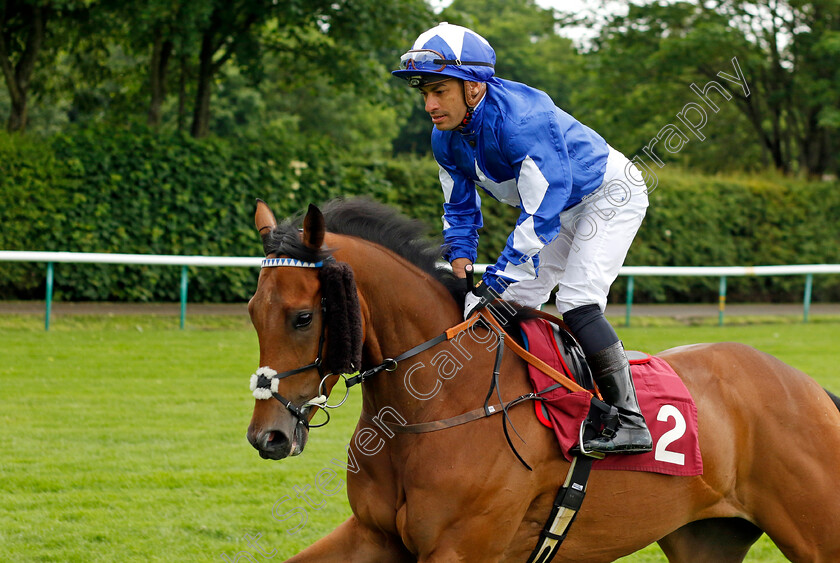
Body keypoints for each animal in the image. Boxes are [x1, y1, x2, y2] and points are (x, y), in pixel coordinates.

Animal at [246, 199, 840, 563]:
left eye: (303, 317)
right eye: (253, 312)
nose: (266, 436)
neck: (439, 405)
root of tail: (811, 388)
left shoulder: (461, 548)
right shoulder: (375, 535)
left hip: (817, 531)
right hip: (707, 537)